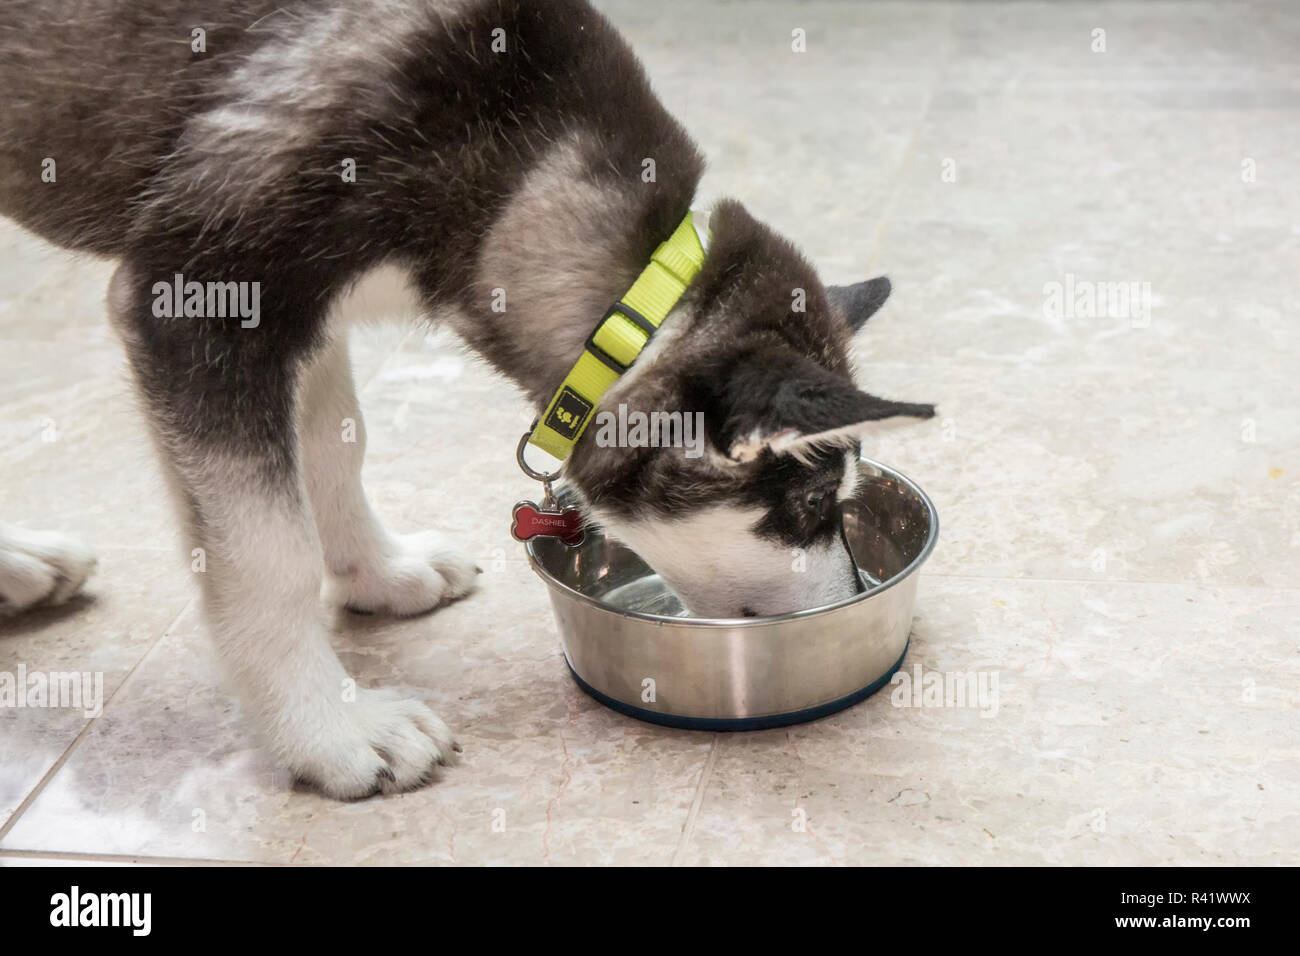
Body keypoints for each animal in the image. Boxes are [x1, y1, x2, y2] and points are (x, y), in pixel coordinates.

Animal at [0, 0, 935, 801]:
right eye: (809, 504)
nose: (859, 596)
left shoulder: (309, 311)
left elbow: (336, 442)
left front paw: (375, 571)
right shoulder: (202, 295)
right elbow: (269, 553)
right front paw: (330, 730)